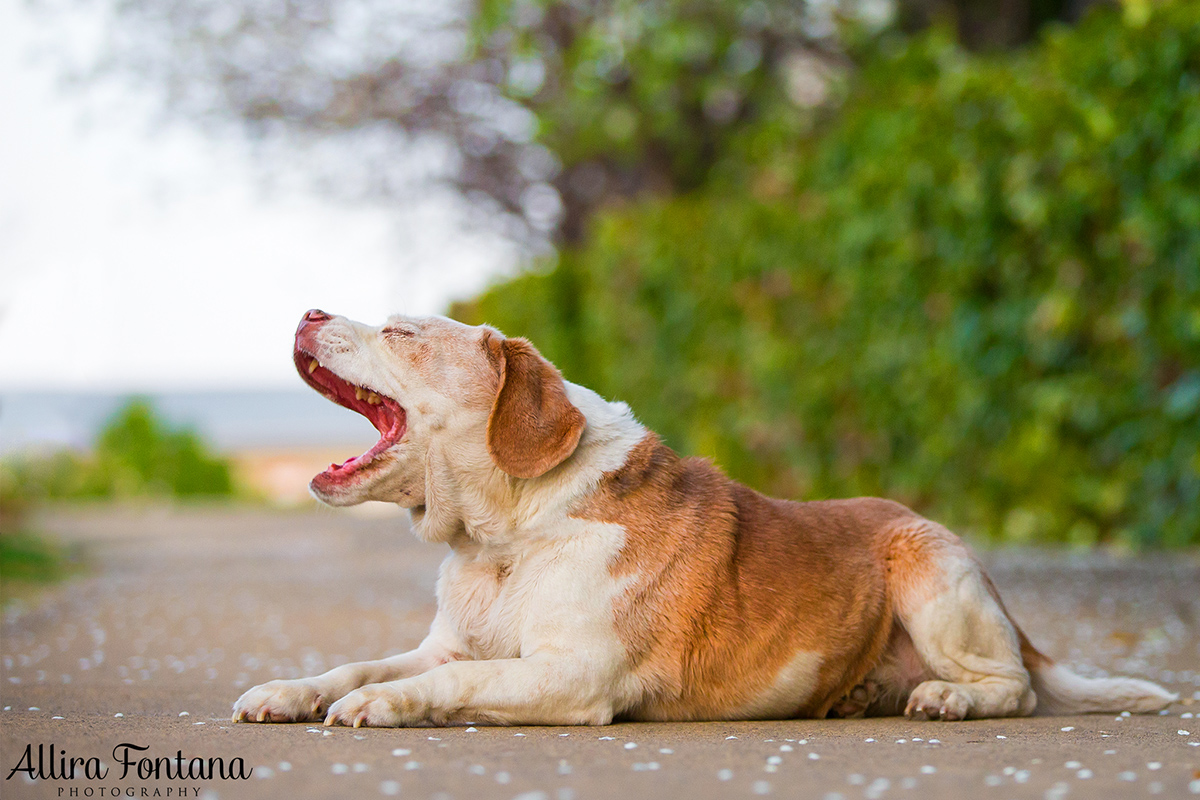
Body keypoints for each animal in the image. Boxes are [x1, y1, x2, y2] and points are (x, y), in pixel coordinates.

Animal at [231, 309, 1171, 729]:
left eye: (403, 333)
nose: (310, 311)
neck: (507, 535)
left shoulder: (571, 677)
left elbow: (440, 686)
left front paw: (383, 705)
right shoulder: (447, 646)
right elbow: (356, 665)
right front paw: (289, 690)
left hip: (931, 572)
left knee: (1013, 687)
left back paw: (948, 696)